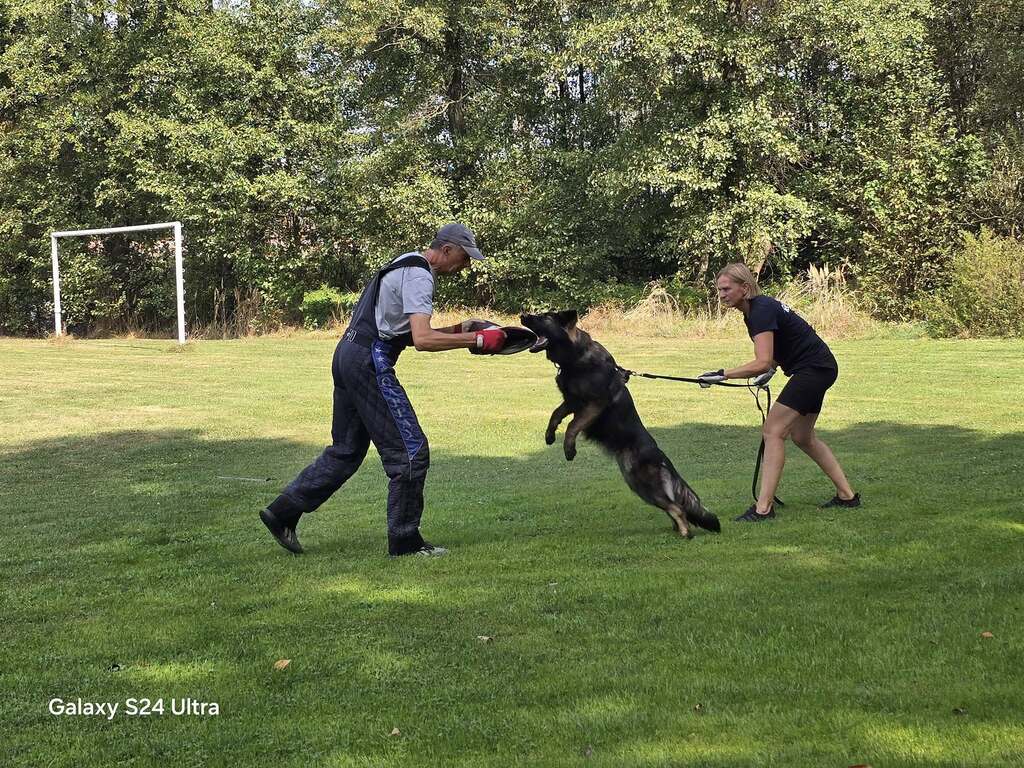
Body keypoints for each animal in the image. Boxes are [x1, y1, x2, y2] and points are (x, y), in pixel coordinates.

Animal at [520, 310, 720, 538]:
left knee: (677, 507)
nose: (522, 315)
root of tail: (662, 459)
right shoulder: (571, 401)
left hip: (644, 483)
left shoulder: (594, 404)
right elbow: (555, 415)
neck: (577, 356)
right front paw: (549, 435)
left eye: (544, 317)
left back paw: (686, 533)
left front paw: (569, 450)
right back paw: (679, 529)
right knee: (675, 507)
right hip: (636, 484)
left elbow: (572, 426)